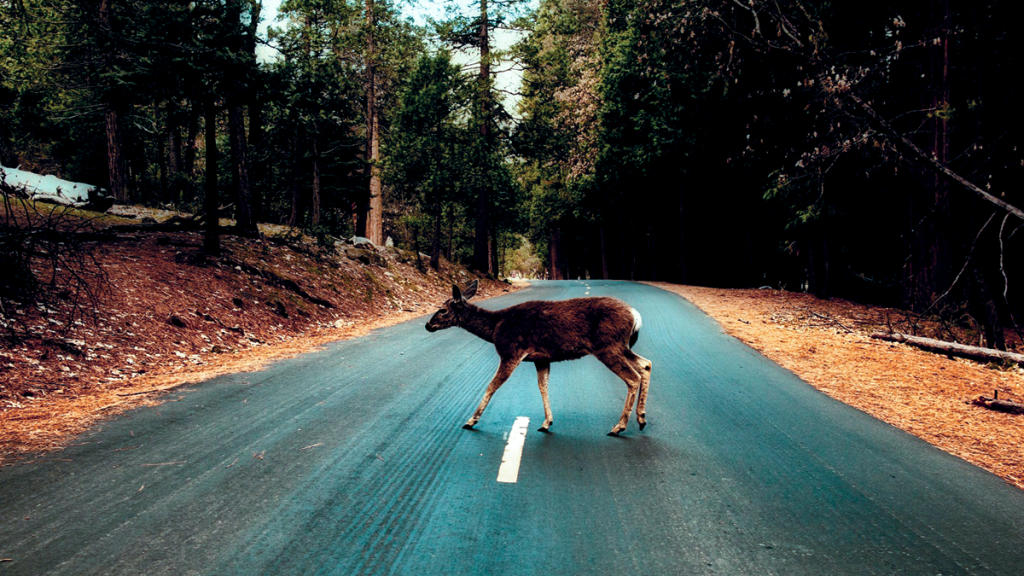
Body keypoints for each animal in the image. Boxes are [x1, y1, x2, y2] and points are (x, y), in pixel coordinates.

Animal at [425, 278, 651, 434]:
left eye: (443, 310)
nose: (428, 325)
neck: (496, 327)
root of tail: (635, 315)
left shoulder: (511, 351)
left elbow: (492, 385)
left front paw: (471, 421)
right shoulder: (541, 358)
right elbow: (543, 386)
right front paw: (546, 423)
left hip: (608, 346)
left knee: (633, 377)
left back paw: (619, 426)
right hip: (621, 346)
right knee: (646, 364)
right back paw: (641, 419)